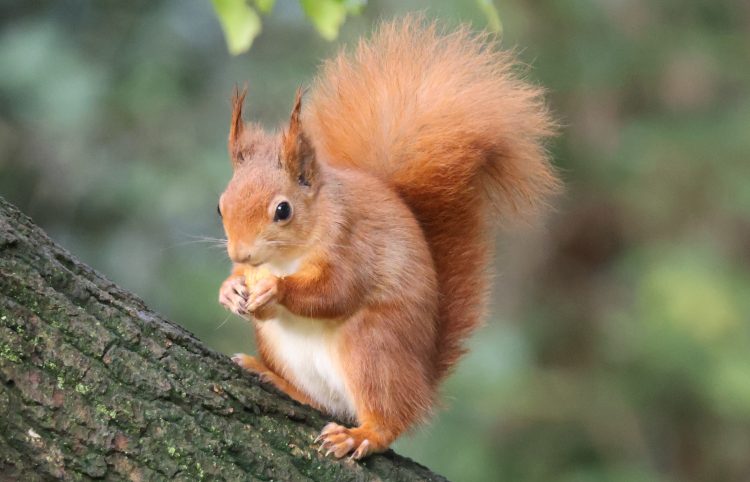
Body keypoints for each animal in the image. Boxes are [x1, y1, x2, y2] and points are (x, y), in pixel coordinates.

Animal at [216, 18, 559, 460]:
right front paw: (230, 289)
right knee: (324, 401)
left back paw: (361, 435)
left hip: (373, 348)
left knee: (390, 419)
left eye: (283, 210)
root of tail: (422, 382)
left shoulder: (352, 244)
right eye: (220, 207)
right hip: (284, 348)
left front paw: (275, 289)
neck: (286, 257)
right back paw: (272, 377)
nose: (241, 252)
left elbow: (336, 291)